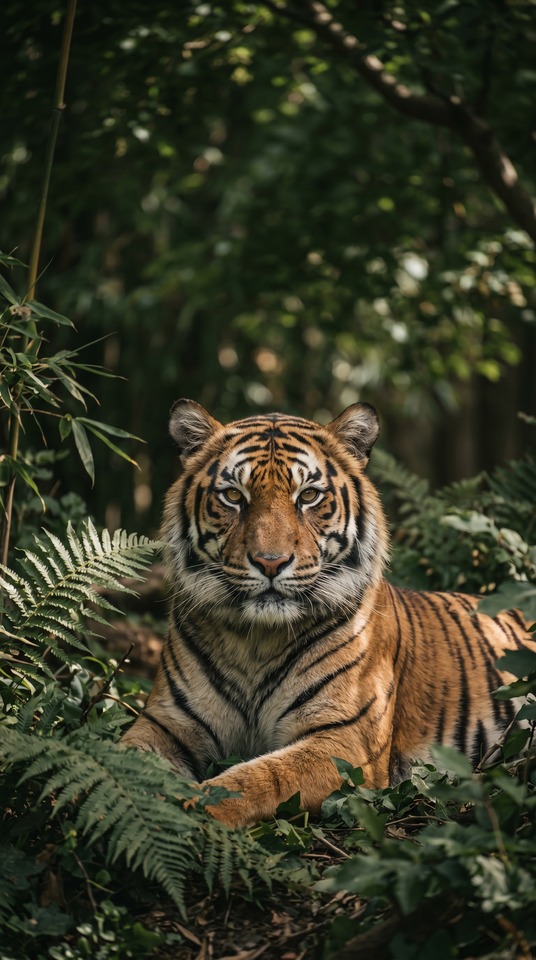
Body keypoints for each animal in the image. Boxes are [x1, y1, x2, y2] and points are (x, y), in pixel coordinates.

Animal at [122, 399, 534, 827]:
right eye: (234, 495)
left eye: (308, 496)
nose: (270, 562)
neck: (256, 640)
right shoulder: (166, 723)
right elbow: (117, 758)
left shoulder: (345, 740)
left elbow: (256, 779)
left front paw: (184, 812)